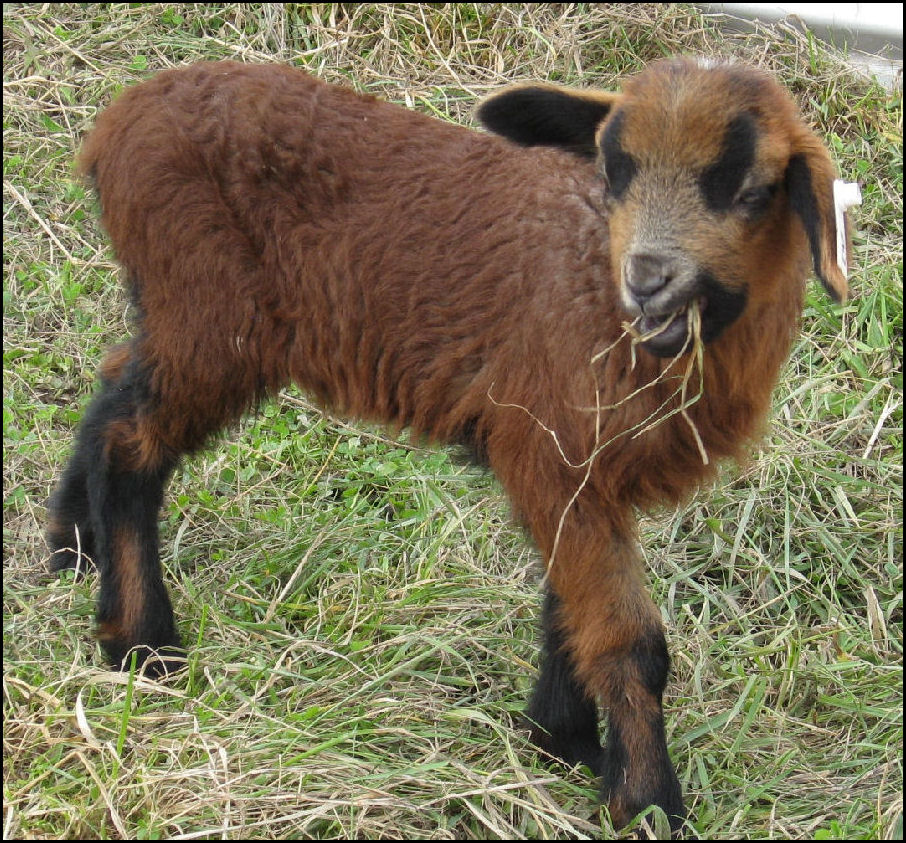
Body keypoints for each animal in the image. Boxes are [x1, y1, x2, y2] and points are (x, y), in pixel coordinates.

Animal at [47, 57, 854, 835]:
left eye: (752, 191)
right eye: (614, 170)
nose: (648, 280)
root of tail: (119, 122)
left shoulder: (574, 474)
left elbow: (571, 609)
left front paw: (563, 743)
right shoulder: (553, 449)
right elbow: (630, 641)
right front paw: (647, 801)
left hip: (180, 314)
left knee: (113, 385)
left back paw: (73, 545)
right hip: (208, 311)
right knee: (130, 443)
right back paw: (141, 642)